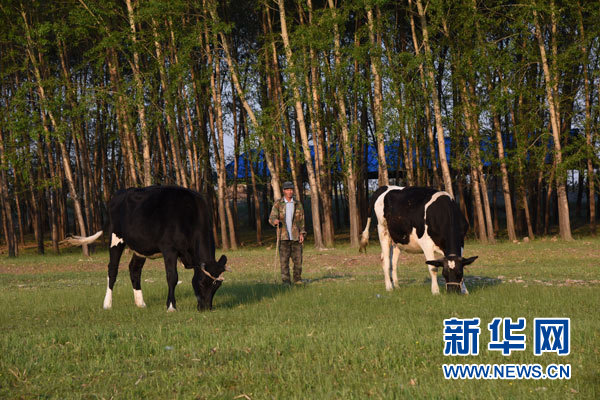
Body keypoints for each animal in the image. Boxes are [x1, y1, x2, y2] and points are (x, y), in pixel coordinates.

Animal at [63, 185, 228, 311]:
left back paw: (140, 303)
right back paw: (107, 304)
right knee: (112, 269)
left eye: (217, 285)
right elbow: (172, 277)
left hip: (140, 247)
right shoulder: (169, 249)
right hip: (116, 238)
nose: (206, 308)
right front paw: (171, 307)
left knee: (134, 269)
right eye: (202, 282)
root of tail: (120, 193)